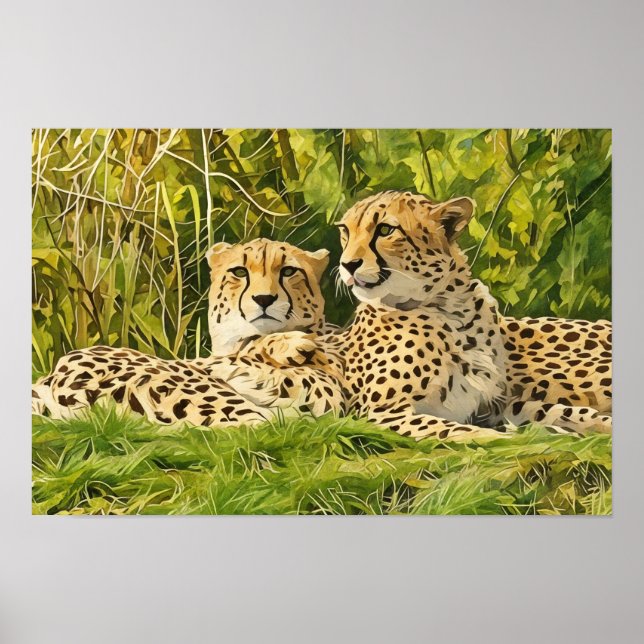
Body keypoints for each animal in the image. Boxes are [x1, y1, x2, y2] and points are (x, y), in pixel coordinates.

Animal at [327, 190, 612, 439]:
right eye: (345, 231)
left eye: (385, 230)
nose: (347, 265)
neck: (452, 310)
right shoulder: (381, 413)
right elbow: (460, 430)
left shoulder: (493, 404)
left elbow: (556, 410)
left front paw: (598, 424)